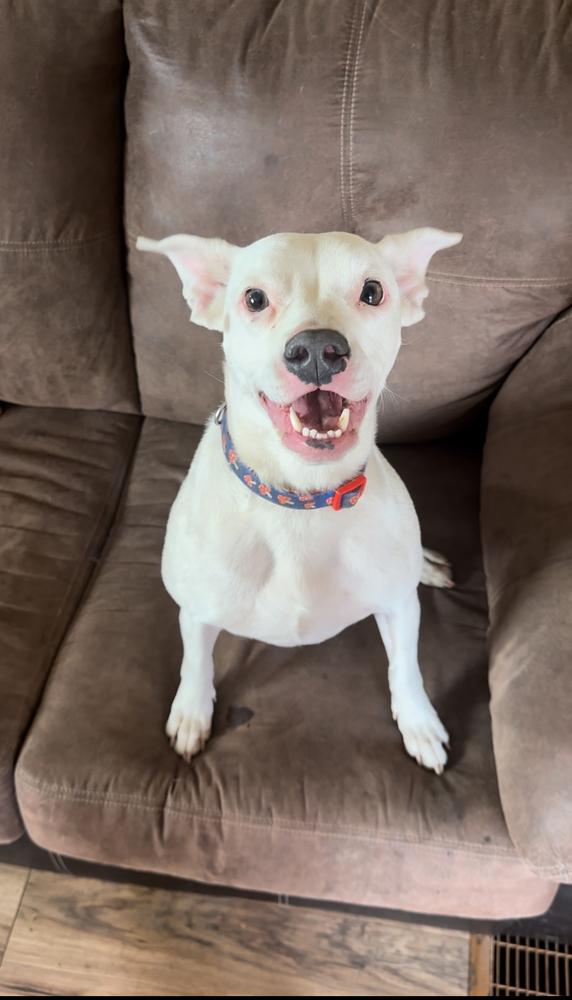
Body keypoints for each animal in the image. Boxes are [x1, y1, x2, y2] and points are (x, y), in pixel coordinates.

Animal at [137, 227, 460, 772]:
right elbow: (195, 662)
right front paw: (191, 714)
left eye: (372, 291)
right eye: (254, 298)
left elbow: (406, 668)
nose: (315, 349)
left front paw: (418, 723)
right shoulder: (196, 612)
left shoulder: (399, 607)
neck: (300, 502)